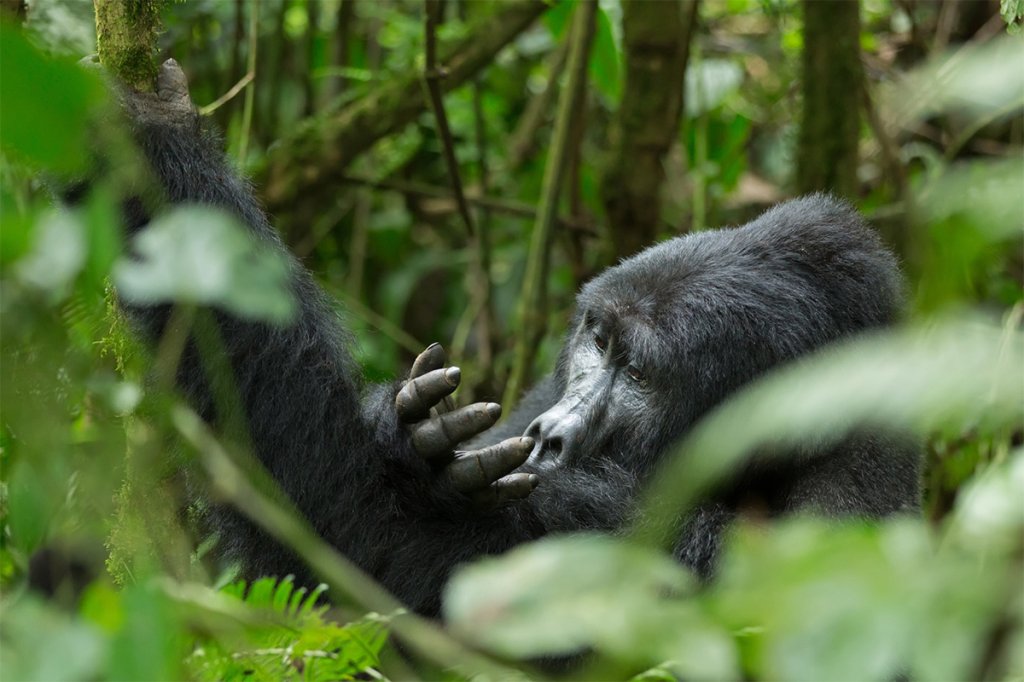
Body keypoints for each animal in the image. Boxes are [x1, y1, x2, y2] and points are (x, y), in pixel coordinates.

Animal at [94, 61, 921, 614]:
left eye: (641, 376)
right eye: (597, 343)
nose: (551, 436)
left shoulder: (853, 496)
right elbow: (354, 535)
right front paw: (159, 135)